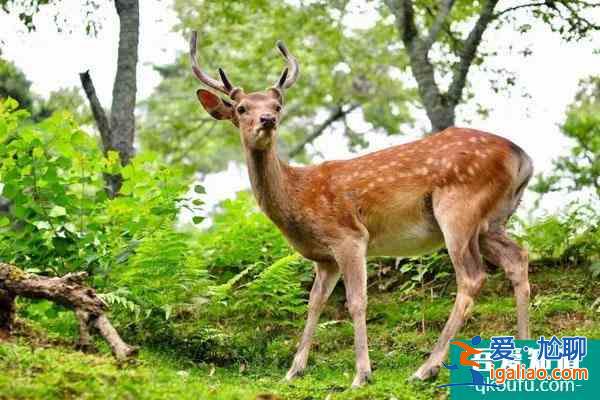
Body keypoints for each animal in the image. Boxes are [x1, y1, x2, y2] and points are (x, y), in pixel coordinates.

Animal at [189, 31, 536, 388]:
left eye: (277, 106)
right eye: (242, 108)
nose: (267, 120)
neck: (297, 197)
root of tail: (523, 157)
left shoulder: (350, 237)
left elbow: (356, 302)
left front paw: (361, 374)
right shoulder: (325, 258)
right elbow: (314, 304)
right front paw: (294, 370)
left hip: (459, 209)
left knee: (472, 276)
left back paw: (426, 368)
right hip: (491, 221)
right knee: (517, 257)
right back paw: (523, 356)